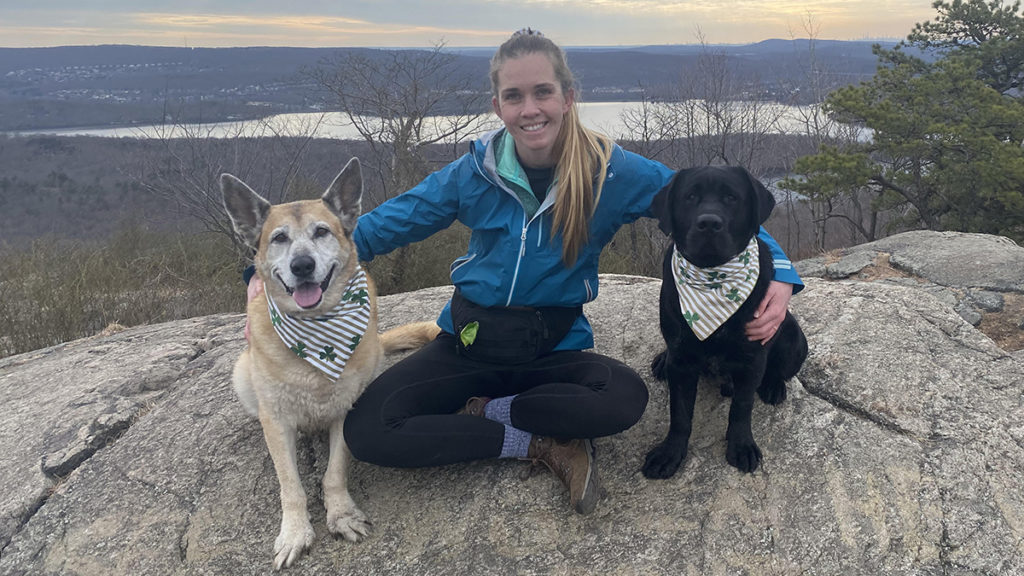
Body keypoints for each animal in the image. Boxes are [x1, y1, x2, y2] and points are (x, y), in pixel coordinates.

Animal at [220, 157, 436, 569]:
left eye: (321, 231)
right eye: (279, 239)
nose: (302, 265)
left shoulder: (346, 411)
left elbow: (334, 472)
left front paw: (341, 514)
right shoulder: (278, 420)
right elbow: (291, 485)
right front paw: (295, 532)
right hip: (242, 373)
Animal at [638, 165, 806, 475]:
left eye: (731, 197)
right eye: (690, 196)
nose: (709, 223)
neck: (713, 278)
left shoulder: (752, 357)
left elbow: (741, 408)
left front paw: (741, 446)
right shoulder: (682, 360)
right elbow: (680, 414)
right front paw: (670, 453)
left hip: (793, 336)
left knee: (780, 369)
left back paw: (774, 385)